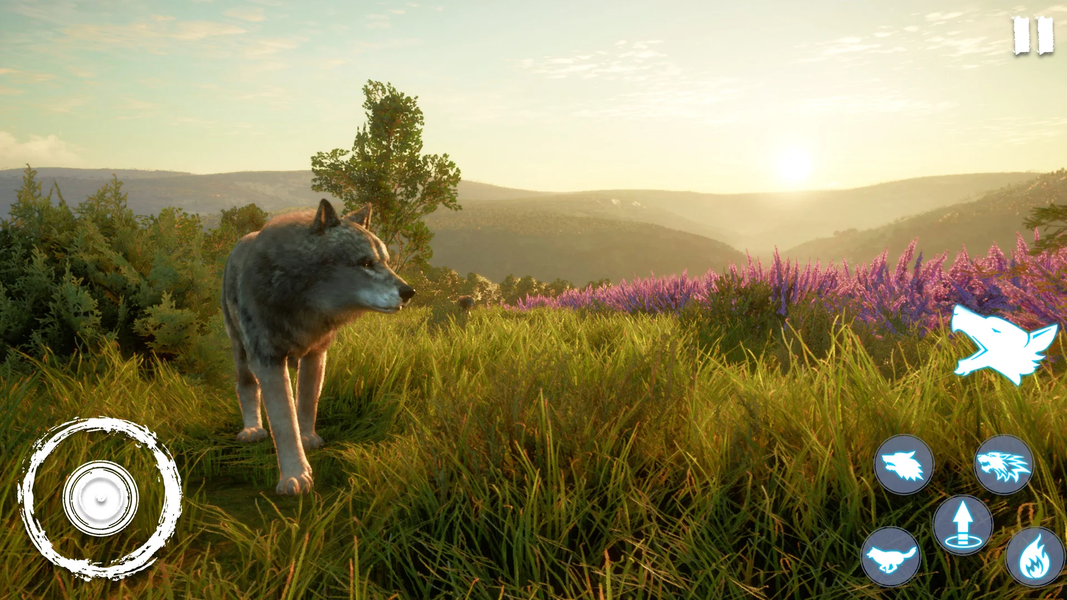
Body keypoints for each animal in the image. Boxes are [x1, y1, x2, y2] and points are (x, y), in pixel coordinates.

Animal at [221, 199, 415, 494]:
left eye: (386, 263)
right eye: (366, 263)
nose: (409, 292)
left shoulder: (316, 353)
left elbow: (306, 402)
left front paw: (307, 438)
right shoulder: (268, 360)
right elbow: (284, 421)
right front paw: (295, 476)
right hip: (241, 351)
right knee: (245, 386)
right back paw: (252, 431)